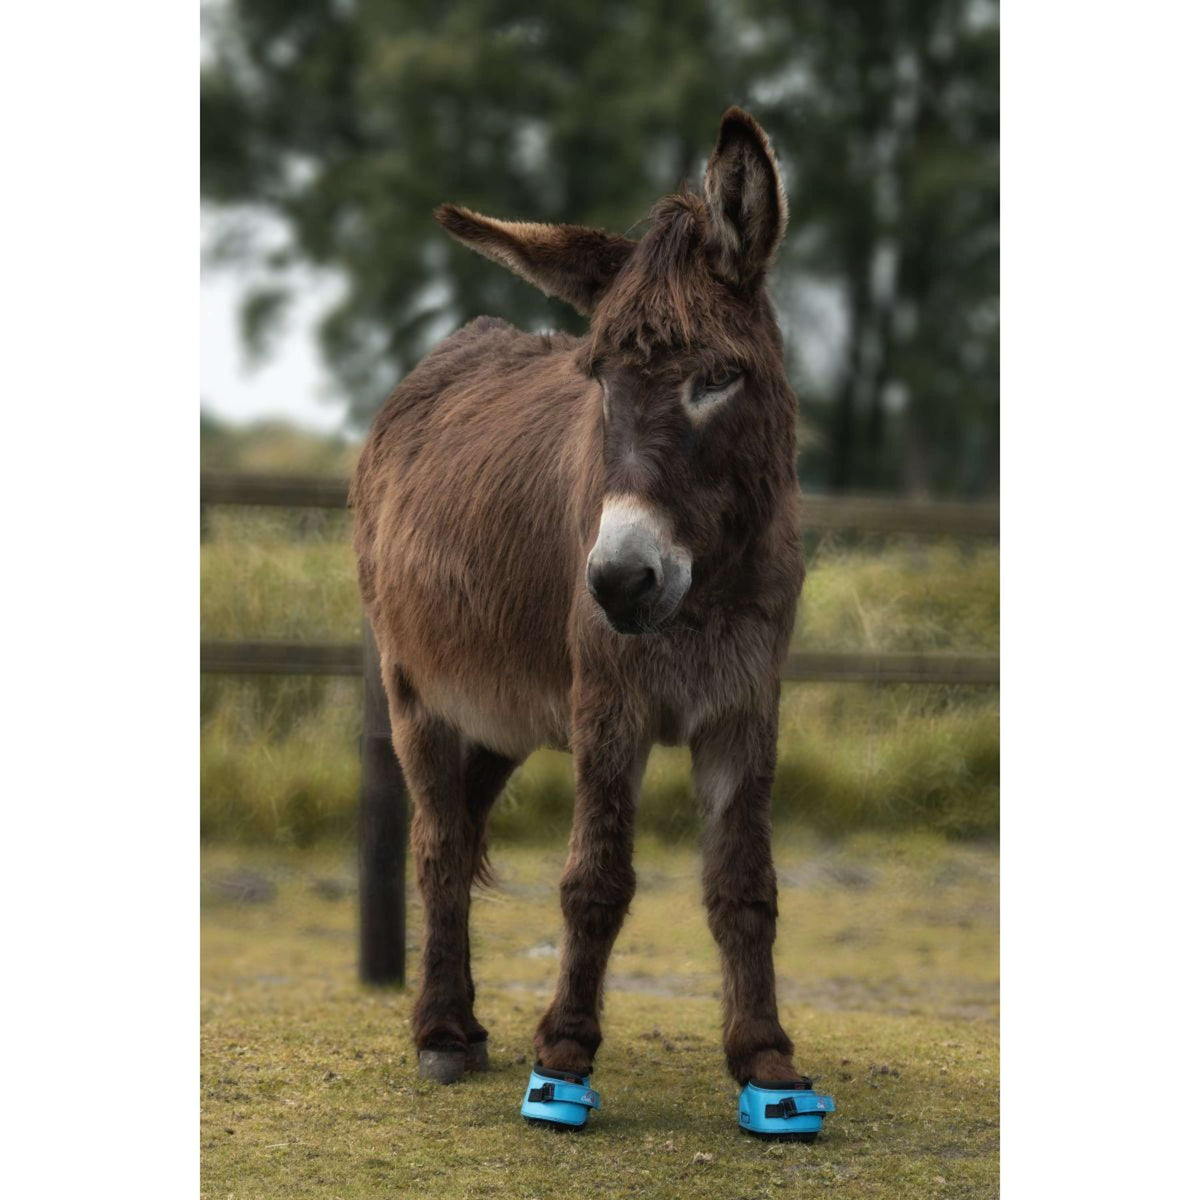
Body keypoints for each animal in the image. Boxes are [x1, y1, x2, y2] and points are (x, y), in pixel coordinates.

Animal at [351, 108, 807, 1099]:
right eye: (597, 380)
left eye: (718, 377)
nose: (618, 583)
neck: (705, 592)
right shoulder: (608, 707)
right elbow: (594, 879)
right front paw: (563, 1049)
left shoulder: (746, 709)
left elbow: (744, 884)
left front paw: (765, 1056)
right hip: (415, 689)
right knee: (437, 844)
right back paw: (442, 1031)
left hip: (503, 717)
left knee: (462, 832)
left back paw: (465, 1021)